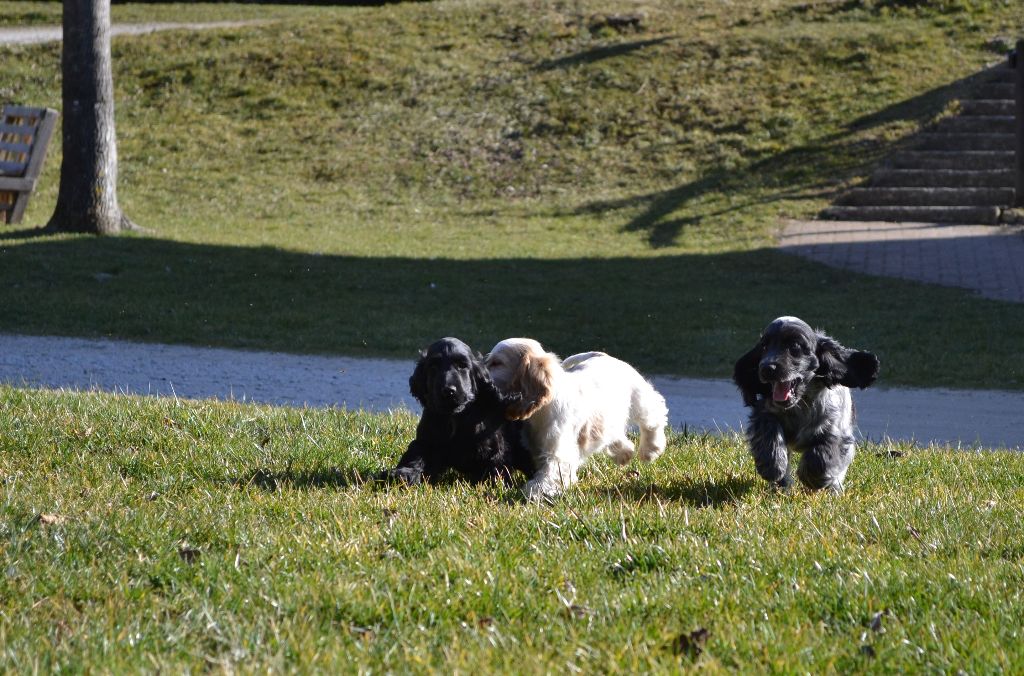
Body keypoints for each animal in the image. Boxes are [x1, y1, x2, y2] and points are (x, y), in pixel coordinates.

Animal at [380, 338, 532, 485]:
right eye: (433, 366)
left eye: (462, 366)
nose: (448, 391)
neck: (455, 416)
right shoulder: (427, 441)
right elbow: (416, 455)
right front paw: (402, 474)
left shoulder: (492, 447)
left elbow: (494, 466)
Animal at [487, 340, 671, 499]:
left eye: (496, 363)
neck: (542, 409)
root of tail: (602, 355)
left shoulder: (558, 451)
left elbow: (551, 472)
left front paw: (533, 491)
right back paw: (624, 453)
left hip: (640, 399)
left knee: (653, 418)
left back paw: (650, 450)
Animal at [729, 317, 880, 491]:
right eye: (764, 346)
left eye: (795, 346)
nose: (767, 368)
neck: (800, 404)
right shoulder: (763, 413)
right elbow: (768, 433)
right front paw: (773, 466)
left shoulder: (838, 431)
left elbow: (821, 454)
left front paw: (812, 479)